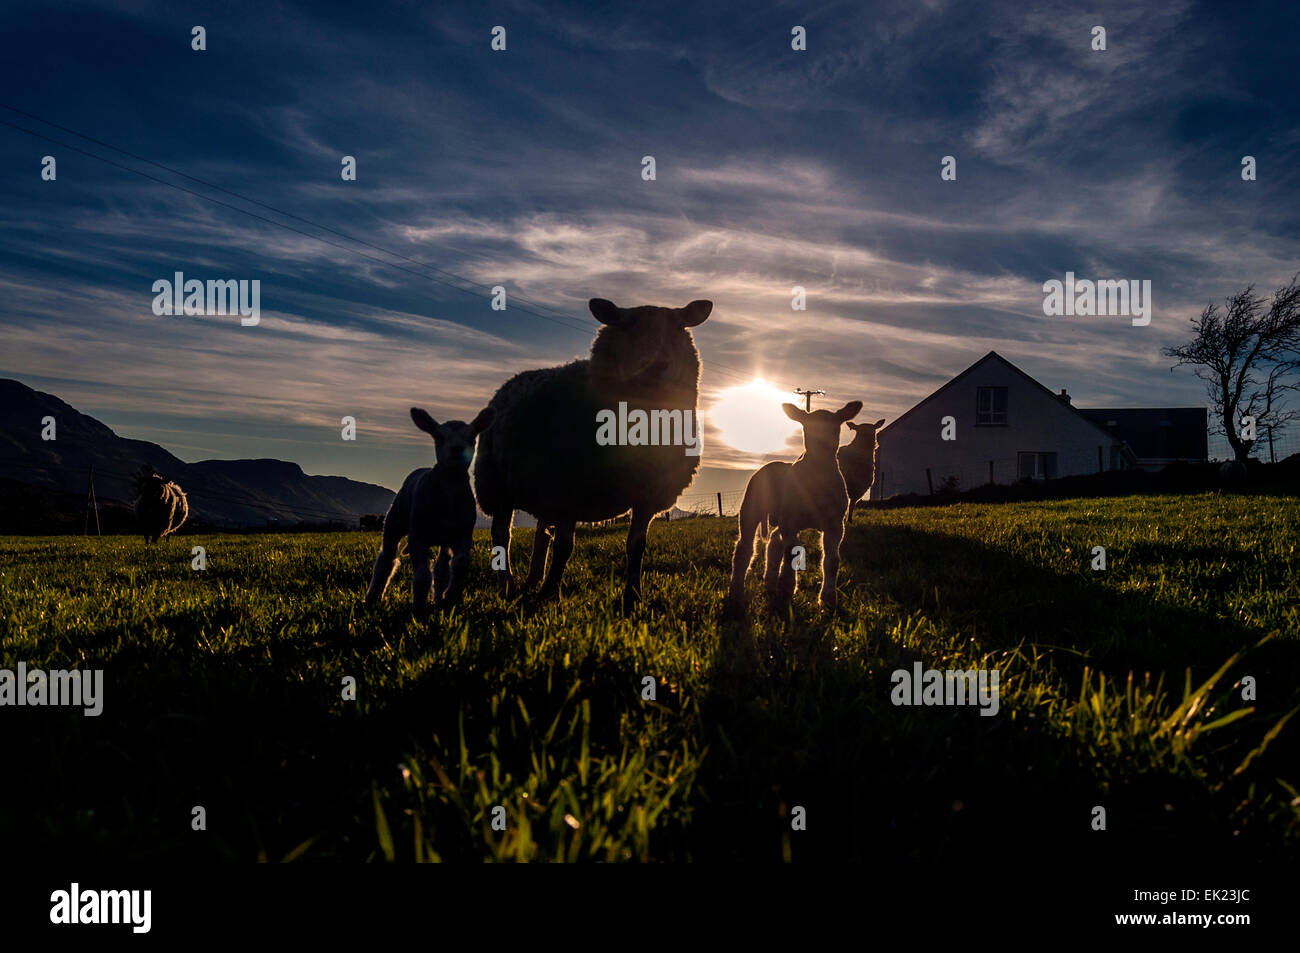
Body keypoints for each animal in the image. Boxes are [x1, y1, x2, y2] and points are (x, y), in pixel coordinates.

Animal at [366, 405, 491, 621]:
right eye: (439, 436)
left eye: (472, 437)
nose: (457, 449)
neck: (449, 491)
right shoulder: (418, 535)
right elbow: (422, 575)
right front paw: (418, 610)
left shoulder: (463, 533)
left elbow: (460, 563)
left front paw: (450, 598)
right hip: (394, 522)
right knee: (386, 559)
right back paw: (373, 597)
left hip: (444, 539)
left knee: (441, 567)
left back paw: (439, 599)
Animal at [475, 295, 717, 608]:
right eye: (626, 327)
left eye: (678, 327)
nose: (656, 366)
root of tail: (510, 382)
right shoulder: (569, 490)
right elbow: (565, 546)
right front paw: (551, 594)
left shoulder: (647, 494)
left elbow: (636, 546)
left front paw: (633, 595)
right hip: (497, 486)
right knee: (502, 536)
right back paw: (508, 585)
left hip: (541, 488)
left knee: (541, 534)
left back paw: (533, 580)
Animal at [728, 400, 868, 608]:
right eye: (806, 427)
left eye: (836, 427)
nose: (821, 447)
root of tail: (771, 464)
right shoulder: (790, 520)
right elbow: (792, 552)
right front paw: (786, 588)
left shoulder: (835, 523)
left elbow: (832, 560)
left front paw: (828, 598)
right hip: (752, 508)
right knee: (744, 548)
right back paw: (737, 589)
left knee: (774, 543)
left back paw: (770, 580)